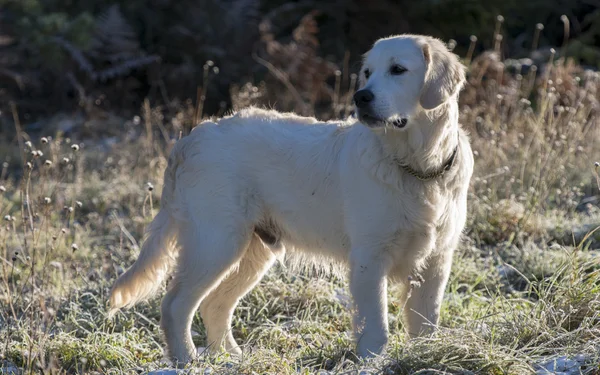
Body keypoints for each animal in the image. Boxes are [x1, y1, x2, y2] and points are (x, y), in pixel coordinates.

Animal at [108, 34, 474, 364]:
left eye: (398, 69)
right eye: (368, 72)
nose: (361, 97)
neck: (418, 169)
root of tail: (191, 139)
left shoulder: (437, 260)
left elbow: (426, 322)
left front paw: (425, 355)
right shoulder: (370, 258)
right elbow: (376, 327)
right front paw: (373, 363)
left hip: (252, 251)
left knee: (214, 305)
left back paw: (232, 359)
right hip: (216, 241)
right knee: (176, 304)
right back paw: (186, 360)